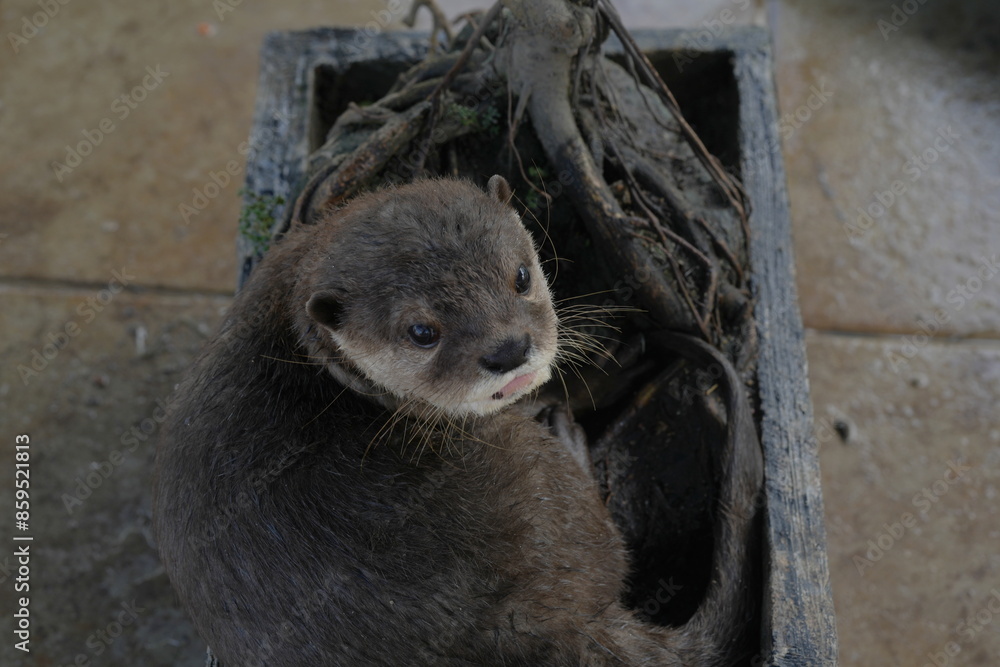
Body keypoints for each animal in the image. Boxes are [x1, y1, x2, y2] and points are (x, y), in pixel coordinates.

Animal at [153, 175, 762, 666]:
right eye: (422, 332)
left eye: (521, 275)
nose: (508, 350)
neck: (315, 362)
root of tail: (551, 629)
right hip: (534, 479)